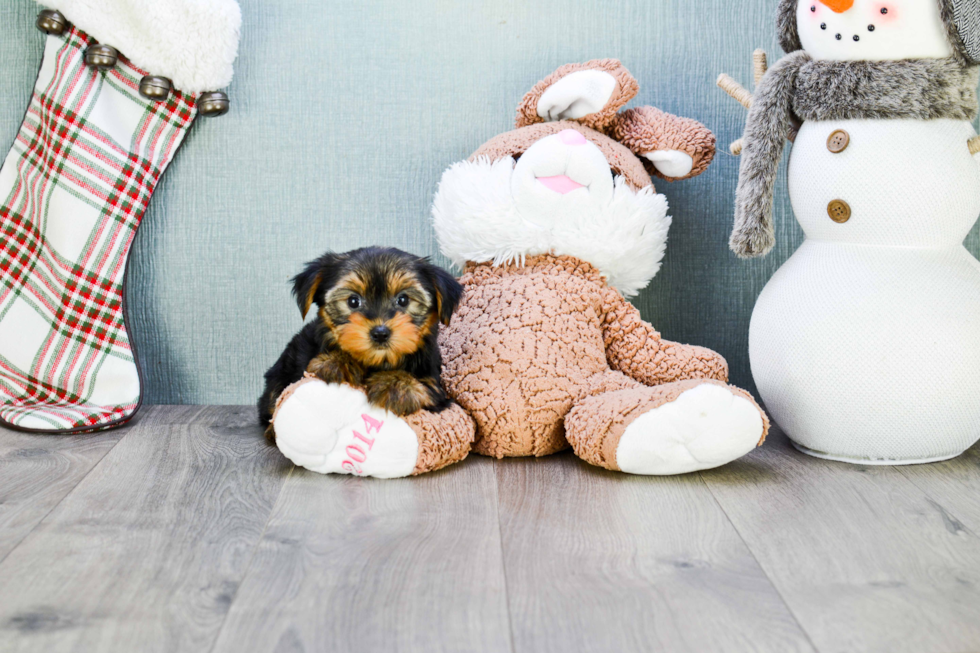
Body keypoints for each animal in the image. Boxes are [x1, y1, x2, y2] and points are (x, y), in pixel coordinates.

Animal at [256, 247, 464, 440]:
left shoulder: (435, 387)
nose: (380, 333)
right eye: (353, 301)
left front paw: (396, 383)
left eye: (403, 300)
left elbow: (427, 390)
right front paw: (338, 361)